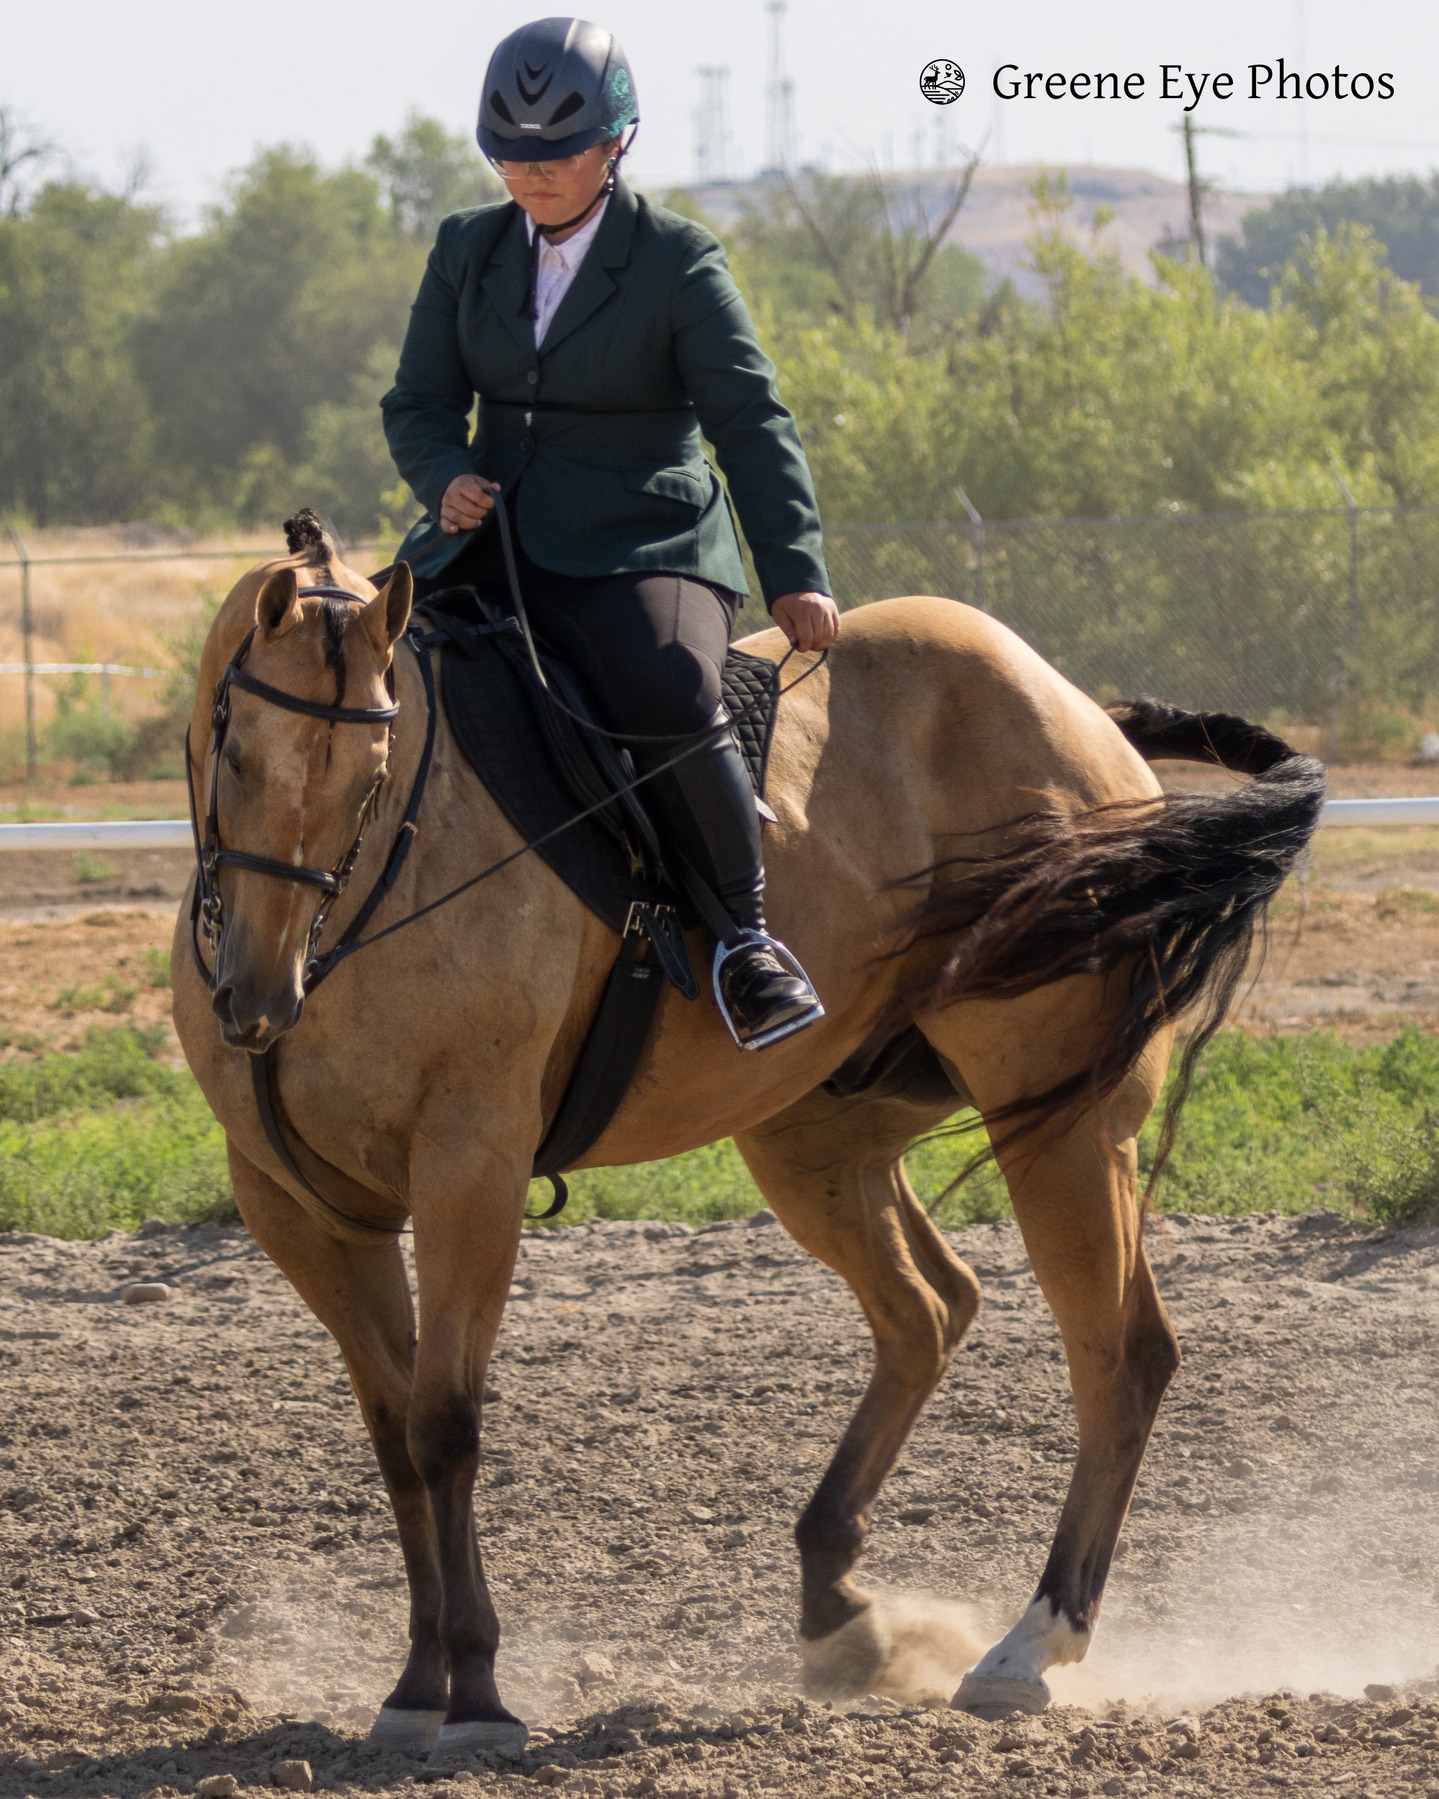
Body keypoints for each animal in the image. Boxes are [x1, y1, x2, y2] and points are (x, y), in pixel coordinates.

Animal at [171, 514, 1323, 1762]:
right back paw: (837, 1608)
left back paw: (1026, 1645)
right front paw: (416, 1678)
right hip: (816, 1133)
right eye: (234, 752)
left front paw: (474, 1690)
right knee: (928, 1308)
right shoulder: (302, 1207)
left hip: (1055, 1121)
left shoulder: (468, 1167)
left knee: (1115, 1354)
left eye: (373, 771)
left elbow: (444, 1424)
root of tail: (1076, 714)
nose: (256, 997)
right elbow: (391, 1438)